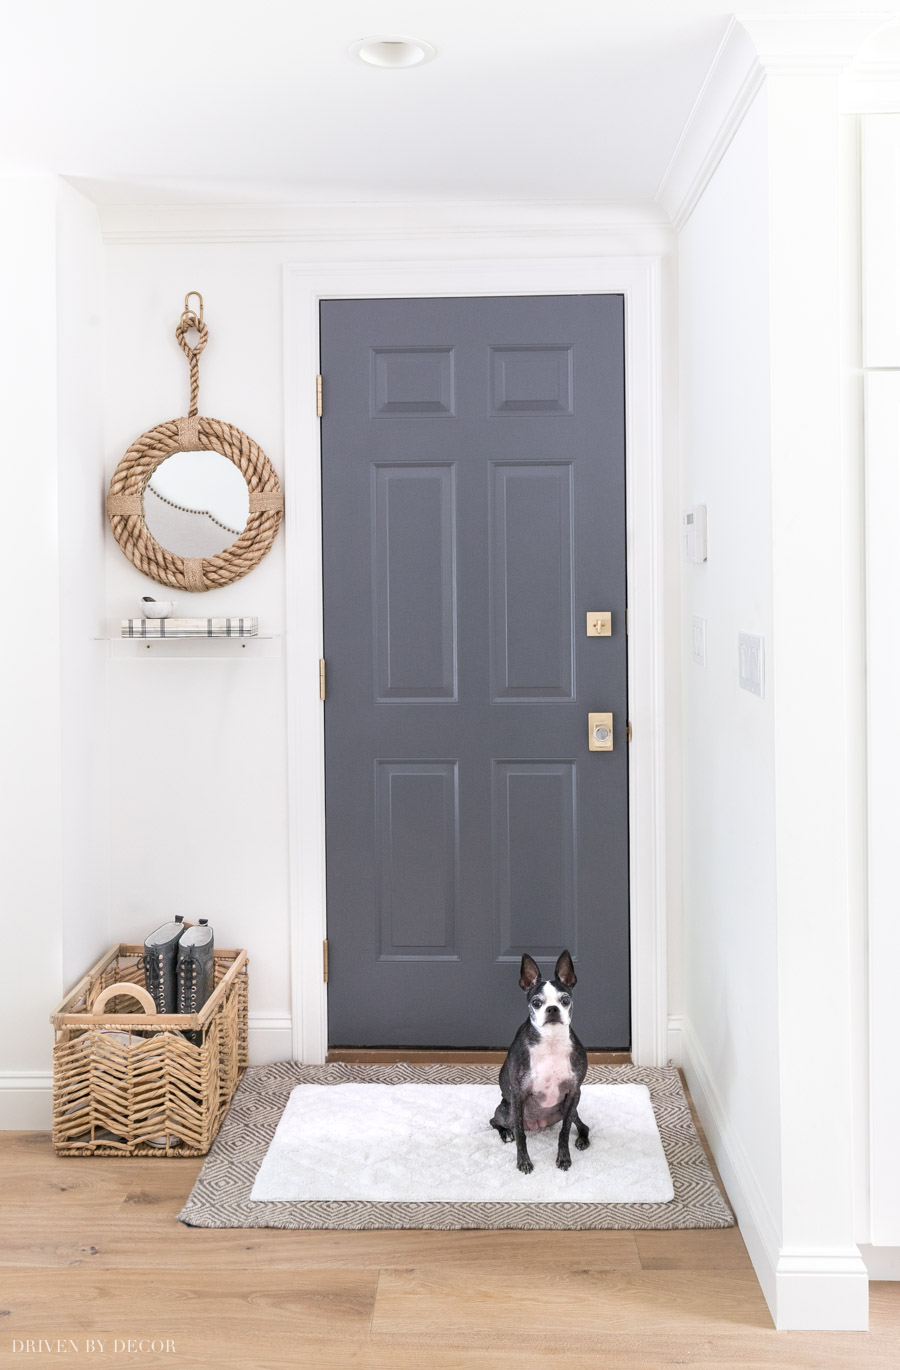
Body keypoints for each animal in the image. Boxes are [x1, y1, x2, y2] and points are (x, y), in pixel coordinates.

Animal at [490, 948, 589, 1172]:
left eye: (565, 1000)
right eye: (536, 1003)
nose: (552, 1009)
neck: (550, 1041)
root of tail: (539, 1124)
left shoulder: (574, 1091)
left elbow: (564, 1131)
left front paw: (563, 1157)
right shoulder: (518, 1094)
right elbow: (520, 1134)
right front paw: (523, 1161)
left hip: (570, 1107)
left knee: (583, 1125)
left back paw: (582, 1139)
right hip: (506, 1110)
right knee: (495, 1121)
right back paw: (505, 1133)